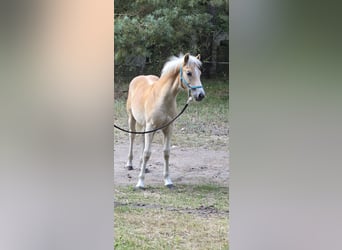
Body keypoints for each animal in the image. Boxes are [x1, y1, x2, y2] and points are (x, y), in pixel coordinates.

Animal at [125, 53, 206, 189]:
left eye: (200, 73)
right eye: (189, 73)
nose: (201, 95)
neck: (162, 98)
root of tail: (138, 78)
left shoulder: (168, 128)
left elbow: (166, 153)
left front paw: (168, 181)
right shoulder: (151, 126)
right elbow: (147, 153)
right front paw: (140, 182)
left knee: (142, 140)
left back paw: (143, 167)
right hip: (132, 119)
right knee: (132, 137)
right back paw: (129, 164)